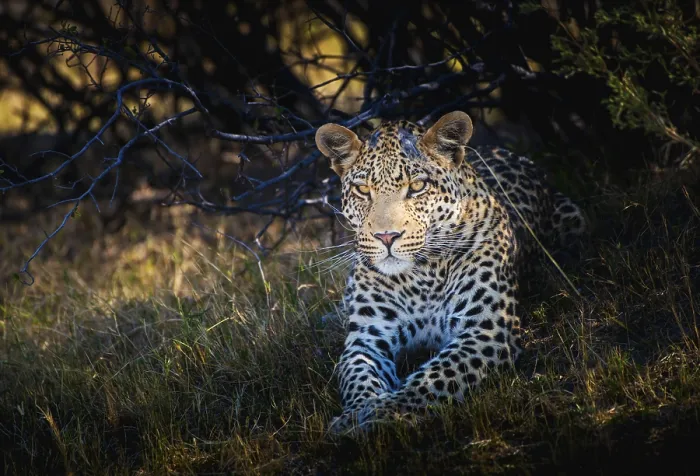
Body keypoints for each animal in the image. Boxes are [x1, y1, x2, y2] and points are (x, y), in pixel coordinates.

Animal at [314, 111, 586, 434]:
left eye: (417, 186)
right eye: (363, 190)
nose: (386, 236)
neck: (420, 276)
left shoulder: (485, 329)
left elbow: (435, 377)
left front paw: (383, 412)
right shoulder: (366, 339)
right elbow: (357, 377)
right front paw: (355, 413)